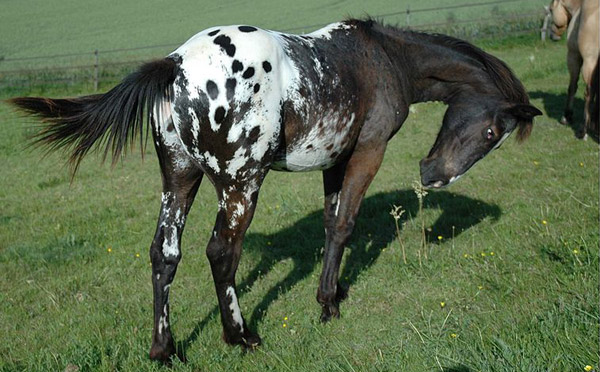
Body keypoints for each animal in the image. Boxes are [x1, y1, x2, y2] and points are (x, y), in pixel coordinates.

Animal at [10, 19, 544, 364]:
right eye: (492, 134)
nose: (432, 175)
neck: (382, 56)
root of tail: (175, 66)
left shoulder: (335, 160)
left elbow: (330, 224)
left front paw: (333, 291)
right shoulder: (367, 152)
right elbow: (345, 224)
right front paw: (328, 304)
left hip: (179, 179)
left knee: (165, 253)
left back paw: (165, 350)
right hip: (242, 183)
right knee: (221, 252)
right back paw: (241, 337)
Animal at [552, 0, 596, 138]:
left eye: (550, 10)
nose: (552, 35)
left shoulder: (573, 56)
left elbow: (572, 87)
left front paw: (567, 116)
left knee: (588, 94)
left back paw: (583, 130)